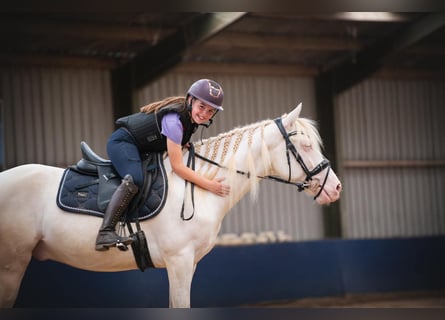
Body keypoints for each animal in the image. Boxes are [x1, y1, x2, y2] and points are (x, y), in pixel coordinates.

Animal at [0, 103, 340, 308]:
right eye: (305, 146)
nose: (335, 188)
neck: (199, 186)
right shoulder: (179, 262)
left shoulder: (189, 264)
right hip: (11, 266)